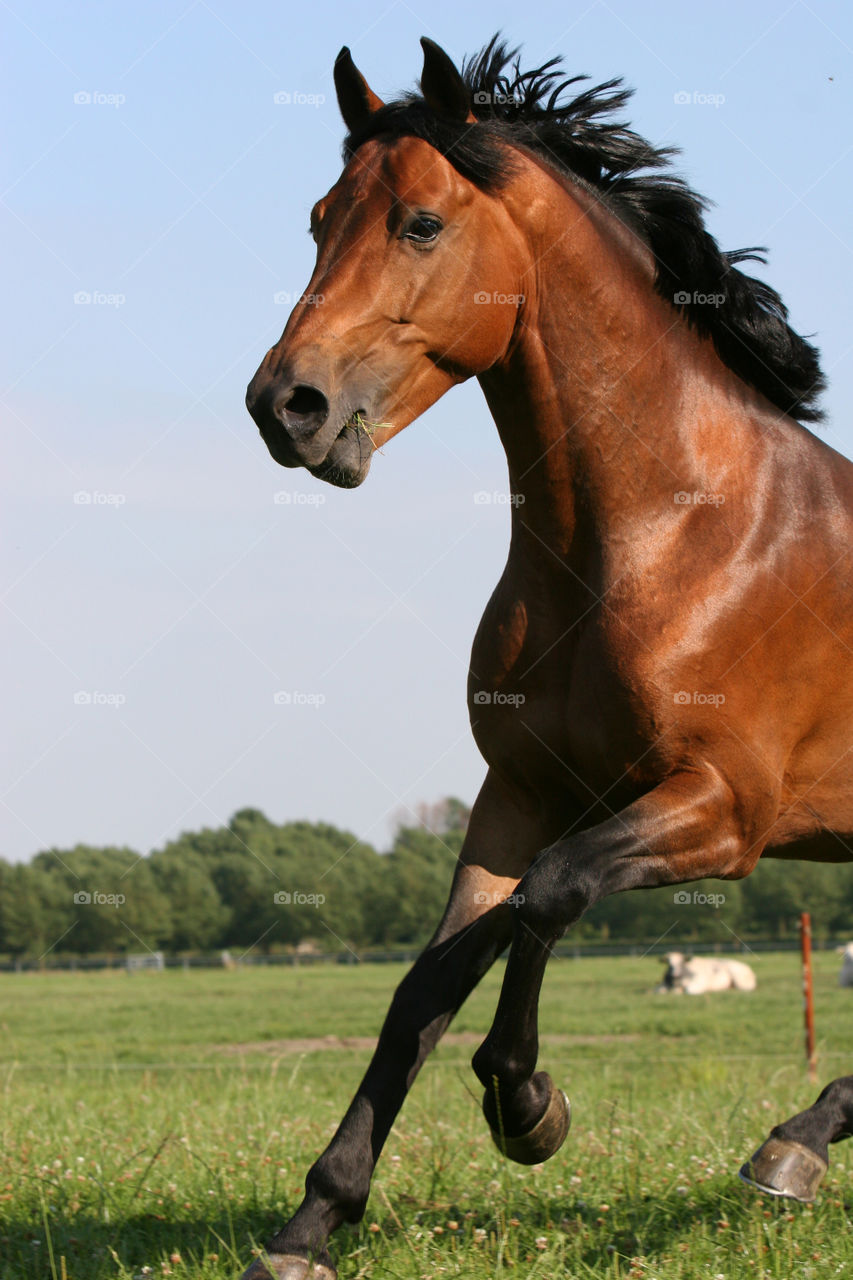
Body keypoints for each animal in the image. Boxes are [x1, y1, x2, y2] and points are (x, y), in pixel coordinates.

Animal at [242, 35, 850, 1274]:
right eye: (320, 217)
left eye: (421, 223)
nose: (286, 405)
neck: (668, 528)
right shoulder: (517, 793)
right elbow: (425, 983)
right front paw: (314, 1216)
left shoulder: (723, 808)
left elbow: (548, 898)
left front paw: (526, 1104)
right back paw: (795, 1142)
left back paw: (789, 1146)